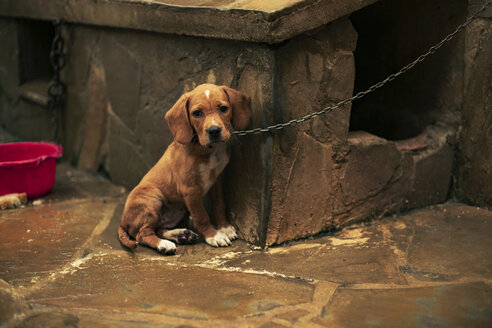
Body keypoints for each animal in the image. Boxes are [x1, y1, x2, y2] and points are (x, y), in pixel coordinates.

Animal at [118, 84, 250, 254]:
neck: (205, 149)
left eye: (223, 108)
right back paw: (164, 244)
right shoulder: (190, 190)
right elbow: (202, 216)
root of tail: (123, 220)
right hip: (152, 198)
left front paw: (224, 227)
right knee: (143, 234)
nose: (214, 131)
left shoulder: (216, 180)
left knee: (159, 228)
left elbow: (219, 204)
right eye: (197, 113)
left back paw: (181, 234)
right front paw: (214, 236)